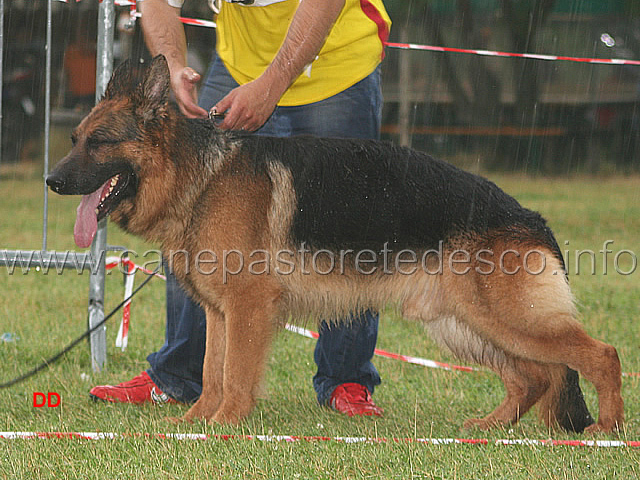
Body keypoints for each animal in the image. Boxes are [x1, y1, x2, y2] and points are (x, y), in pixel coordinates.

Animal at [47, 57, 624, 436]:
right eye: (74, 139)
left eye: (99, 142)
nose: (52, 181)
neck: (200, 175)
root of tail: (531, 217)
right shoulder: (219, 312)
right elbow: (211, 373)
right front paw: (195, 423)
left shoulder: (250, 308)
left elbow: (234, 377)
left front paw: (224, 426)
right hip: (461, 322)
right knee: (533, 377)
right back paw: (490, 426)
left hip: (504, 319)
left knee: (601, 355)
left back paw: (609, 429)